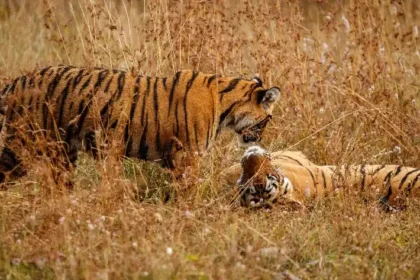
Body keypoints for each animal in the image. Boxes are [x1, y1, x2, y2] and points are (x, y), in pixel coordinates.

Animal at [0, 66, 282, 184]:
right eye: (267, 119)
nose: (260, 138)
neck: (227, 106)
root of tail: (18, 81)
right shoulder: (187, 157)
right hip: (22, 144)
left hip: (63, 153)